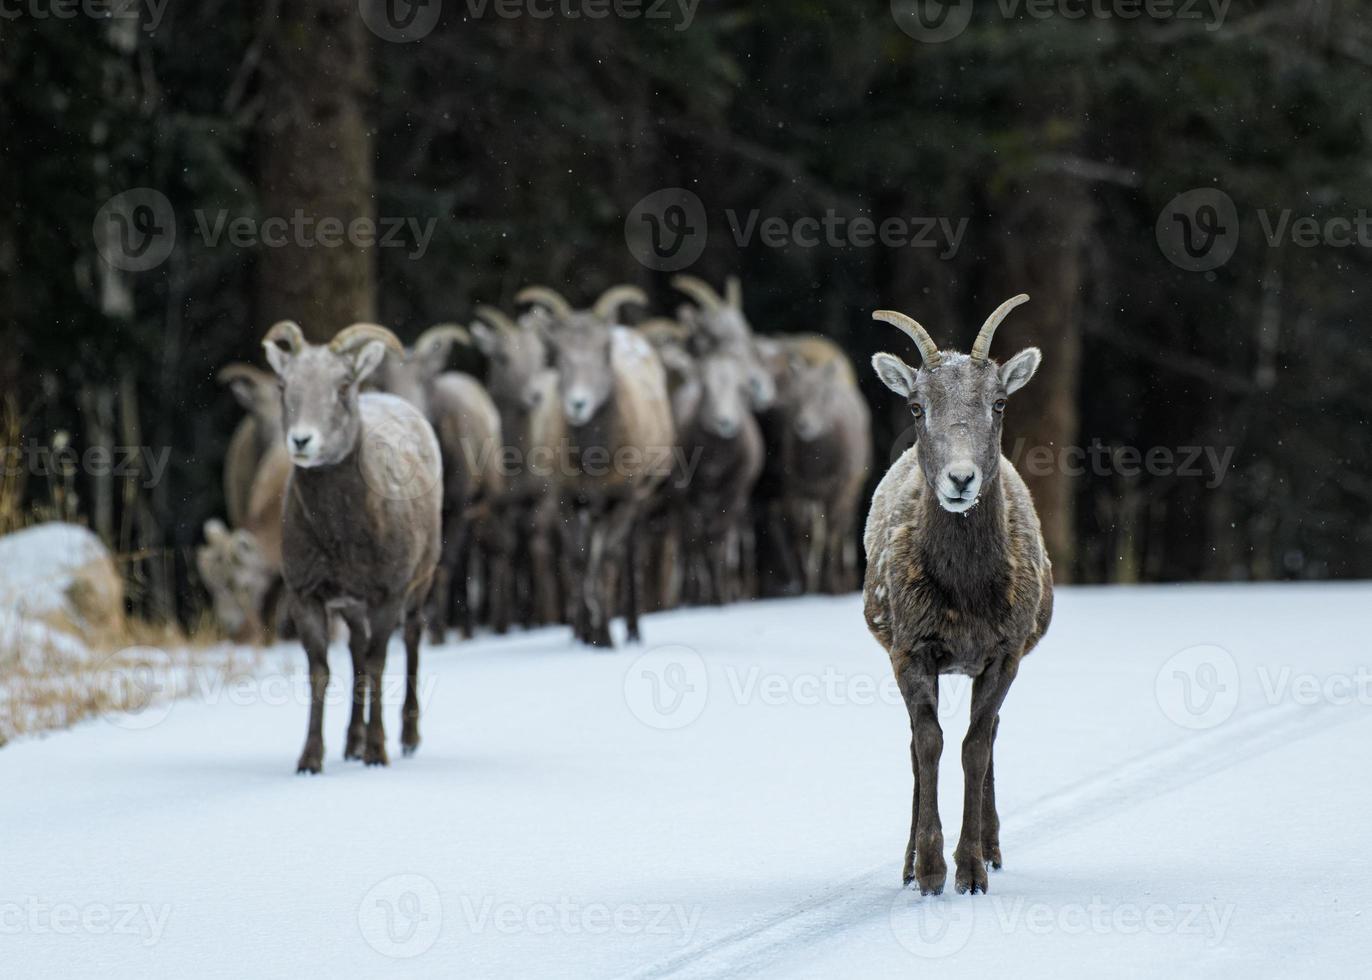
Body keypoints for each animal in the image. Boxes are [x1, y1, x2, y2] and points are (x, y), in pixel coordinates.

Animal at [262, 321, 444, 768]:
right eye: (283, 384)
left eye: (343, 386)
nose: (302, 441)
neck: (339, 537)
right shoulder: (307, 597)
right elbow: (321, 671)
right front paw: (310, 760)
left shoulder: (387, 596)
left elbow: (379, 665)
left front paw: (378, 752)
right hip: (350, 607)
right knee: (357, 651)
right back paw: (351, 743)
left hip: (420, 584)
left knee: (411, 638)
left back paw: (408, 739)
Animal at [515, 284, 675, 647]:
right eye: (558, 353)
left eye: (604, 351)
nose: (578, 404)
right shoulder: (568, 501)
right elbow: (579, 560)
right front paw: (589, 634)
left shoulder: (622, 501)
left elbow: (608, 561)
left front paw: (605, 638)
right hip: (592, 509)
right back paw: (581, 630)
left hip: (635, 505)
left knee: (628, 555)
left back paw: (632, 631)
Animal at [861, 296, 1053, 894]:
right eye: (916, 406)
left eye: (999, 402)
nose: (960, 479)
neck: (966, 594)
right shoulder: (912, 653)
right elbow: (929, 743)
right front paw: (927, 872)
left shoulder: (1003, 656)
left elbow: (975, 746)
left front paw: (971, 872)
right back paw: (906, 865)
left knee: (988, 737)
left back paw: (993, 850)